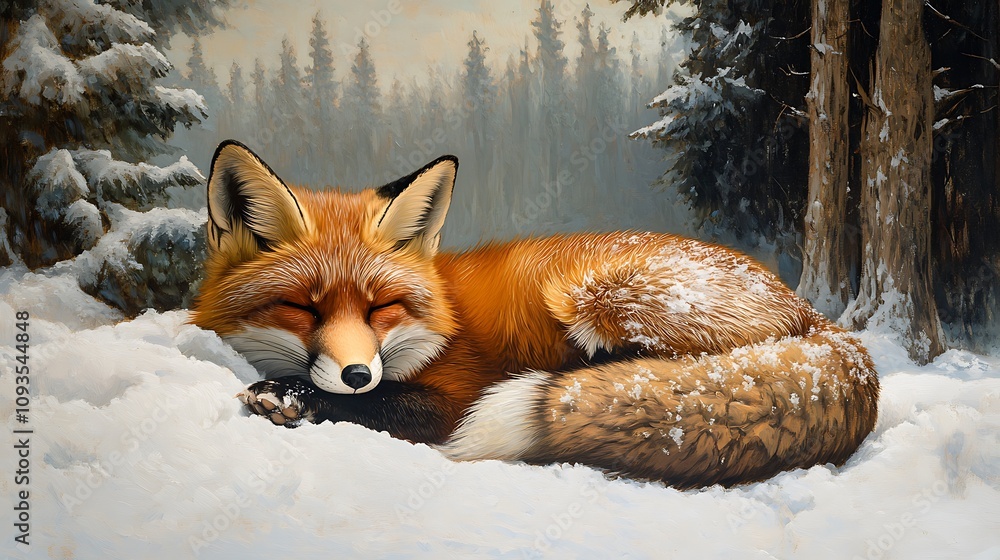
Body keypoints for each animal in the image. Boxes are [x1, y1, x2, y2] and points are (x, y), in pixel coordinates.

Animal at [191, 140, 879, 488]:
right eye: (301, 308)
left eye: (381, 306)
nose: (358, 373)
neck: (440, 319)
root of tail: (826, 326)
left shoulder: (453, 396)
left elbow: (378, 404)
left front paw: (292, 395)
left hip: (591, 295)